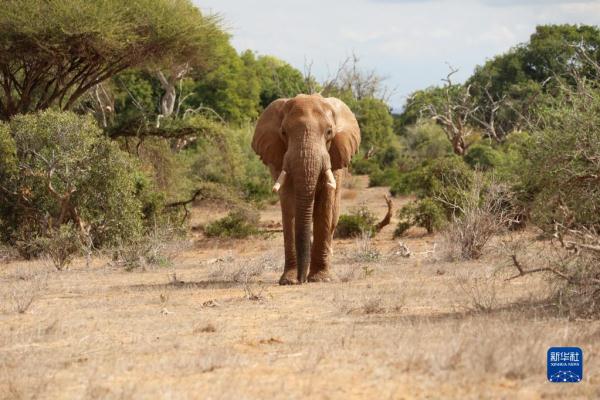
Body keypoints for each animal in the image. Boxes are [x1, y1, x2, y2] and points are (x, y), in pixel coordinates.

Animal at [250, 94, 358, 284]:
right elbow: (289, 203)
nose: (302, 280)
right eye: (283, 133)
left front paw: (322, 279)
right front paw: (289, 281)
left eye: (329, 132)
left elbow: (325, 203)